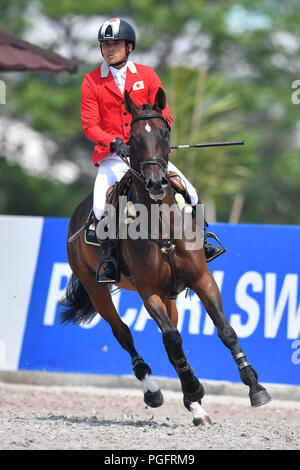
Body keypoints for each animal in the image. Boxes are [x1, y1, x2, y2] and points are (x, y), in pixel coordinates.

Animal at [59, 87, 270, 426]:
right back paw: (154, 390)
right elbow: (171, 338)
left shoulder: (201, 279)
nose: (157, 183)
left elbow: (225, 330)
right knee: (124, 333)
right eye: (132, 137)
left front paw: (254, 386)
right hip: (96, 288)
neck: (162, 224)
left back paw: (197, 409)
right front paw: (193, 389)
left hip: (170, 295)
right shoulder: (149, 292)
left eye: (165, 131)